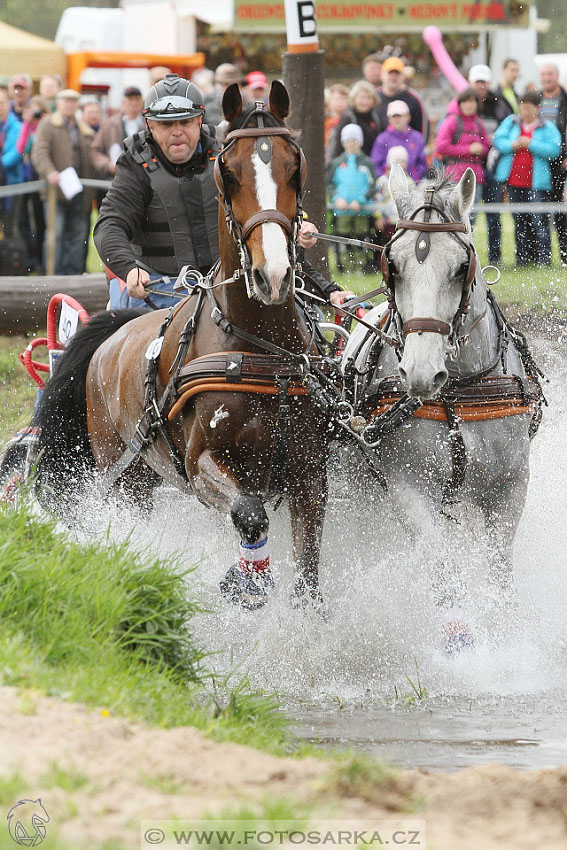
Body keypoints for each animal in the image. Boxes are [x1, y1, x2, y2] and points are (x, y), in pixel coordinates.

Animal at [33, 79, 330, 608]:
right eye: (228, 173)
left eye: (295, 168)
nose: (273, 275)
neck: (260, 352)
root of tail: (113, 336)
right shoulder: (201, 465)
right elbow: (250, 511)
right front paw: (247, 582)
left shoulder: (310, 476)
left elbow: (308, 578)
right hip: (125, 477)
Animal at [340, 167, 544, 644]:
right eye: (392, 265)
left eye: (460, 268)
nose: (420, 373)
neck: (459, 392)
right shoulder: (409, 487)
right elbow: (442, 569)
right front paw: (459, 640)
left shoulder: (510, 487)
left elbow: (499, 573)